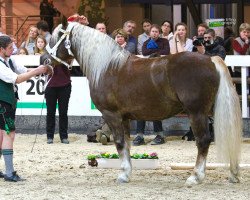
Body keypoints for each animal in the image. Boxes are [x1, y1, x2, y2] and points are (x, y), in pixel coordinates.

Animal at [41, 20, 242, 186]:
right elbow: (127, 145)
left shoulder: (112, 115)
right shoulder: (124, 118)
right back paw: (233, 174)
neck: (107, 67)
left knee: (203, 141)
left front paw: (123, 175)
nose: (44, 59)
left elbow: (119, 143)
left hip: (197, 113)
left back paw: (195, 177)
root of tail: (210, 60)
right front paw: (127, 172)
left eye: (55, 39)